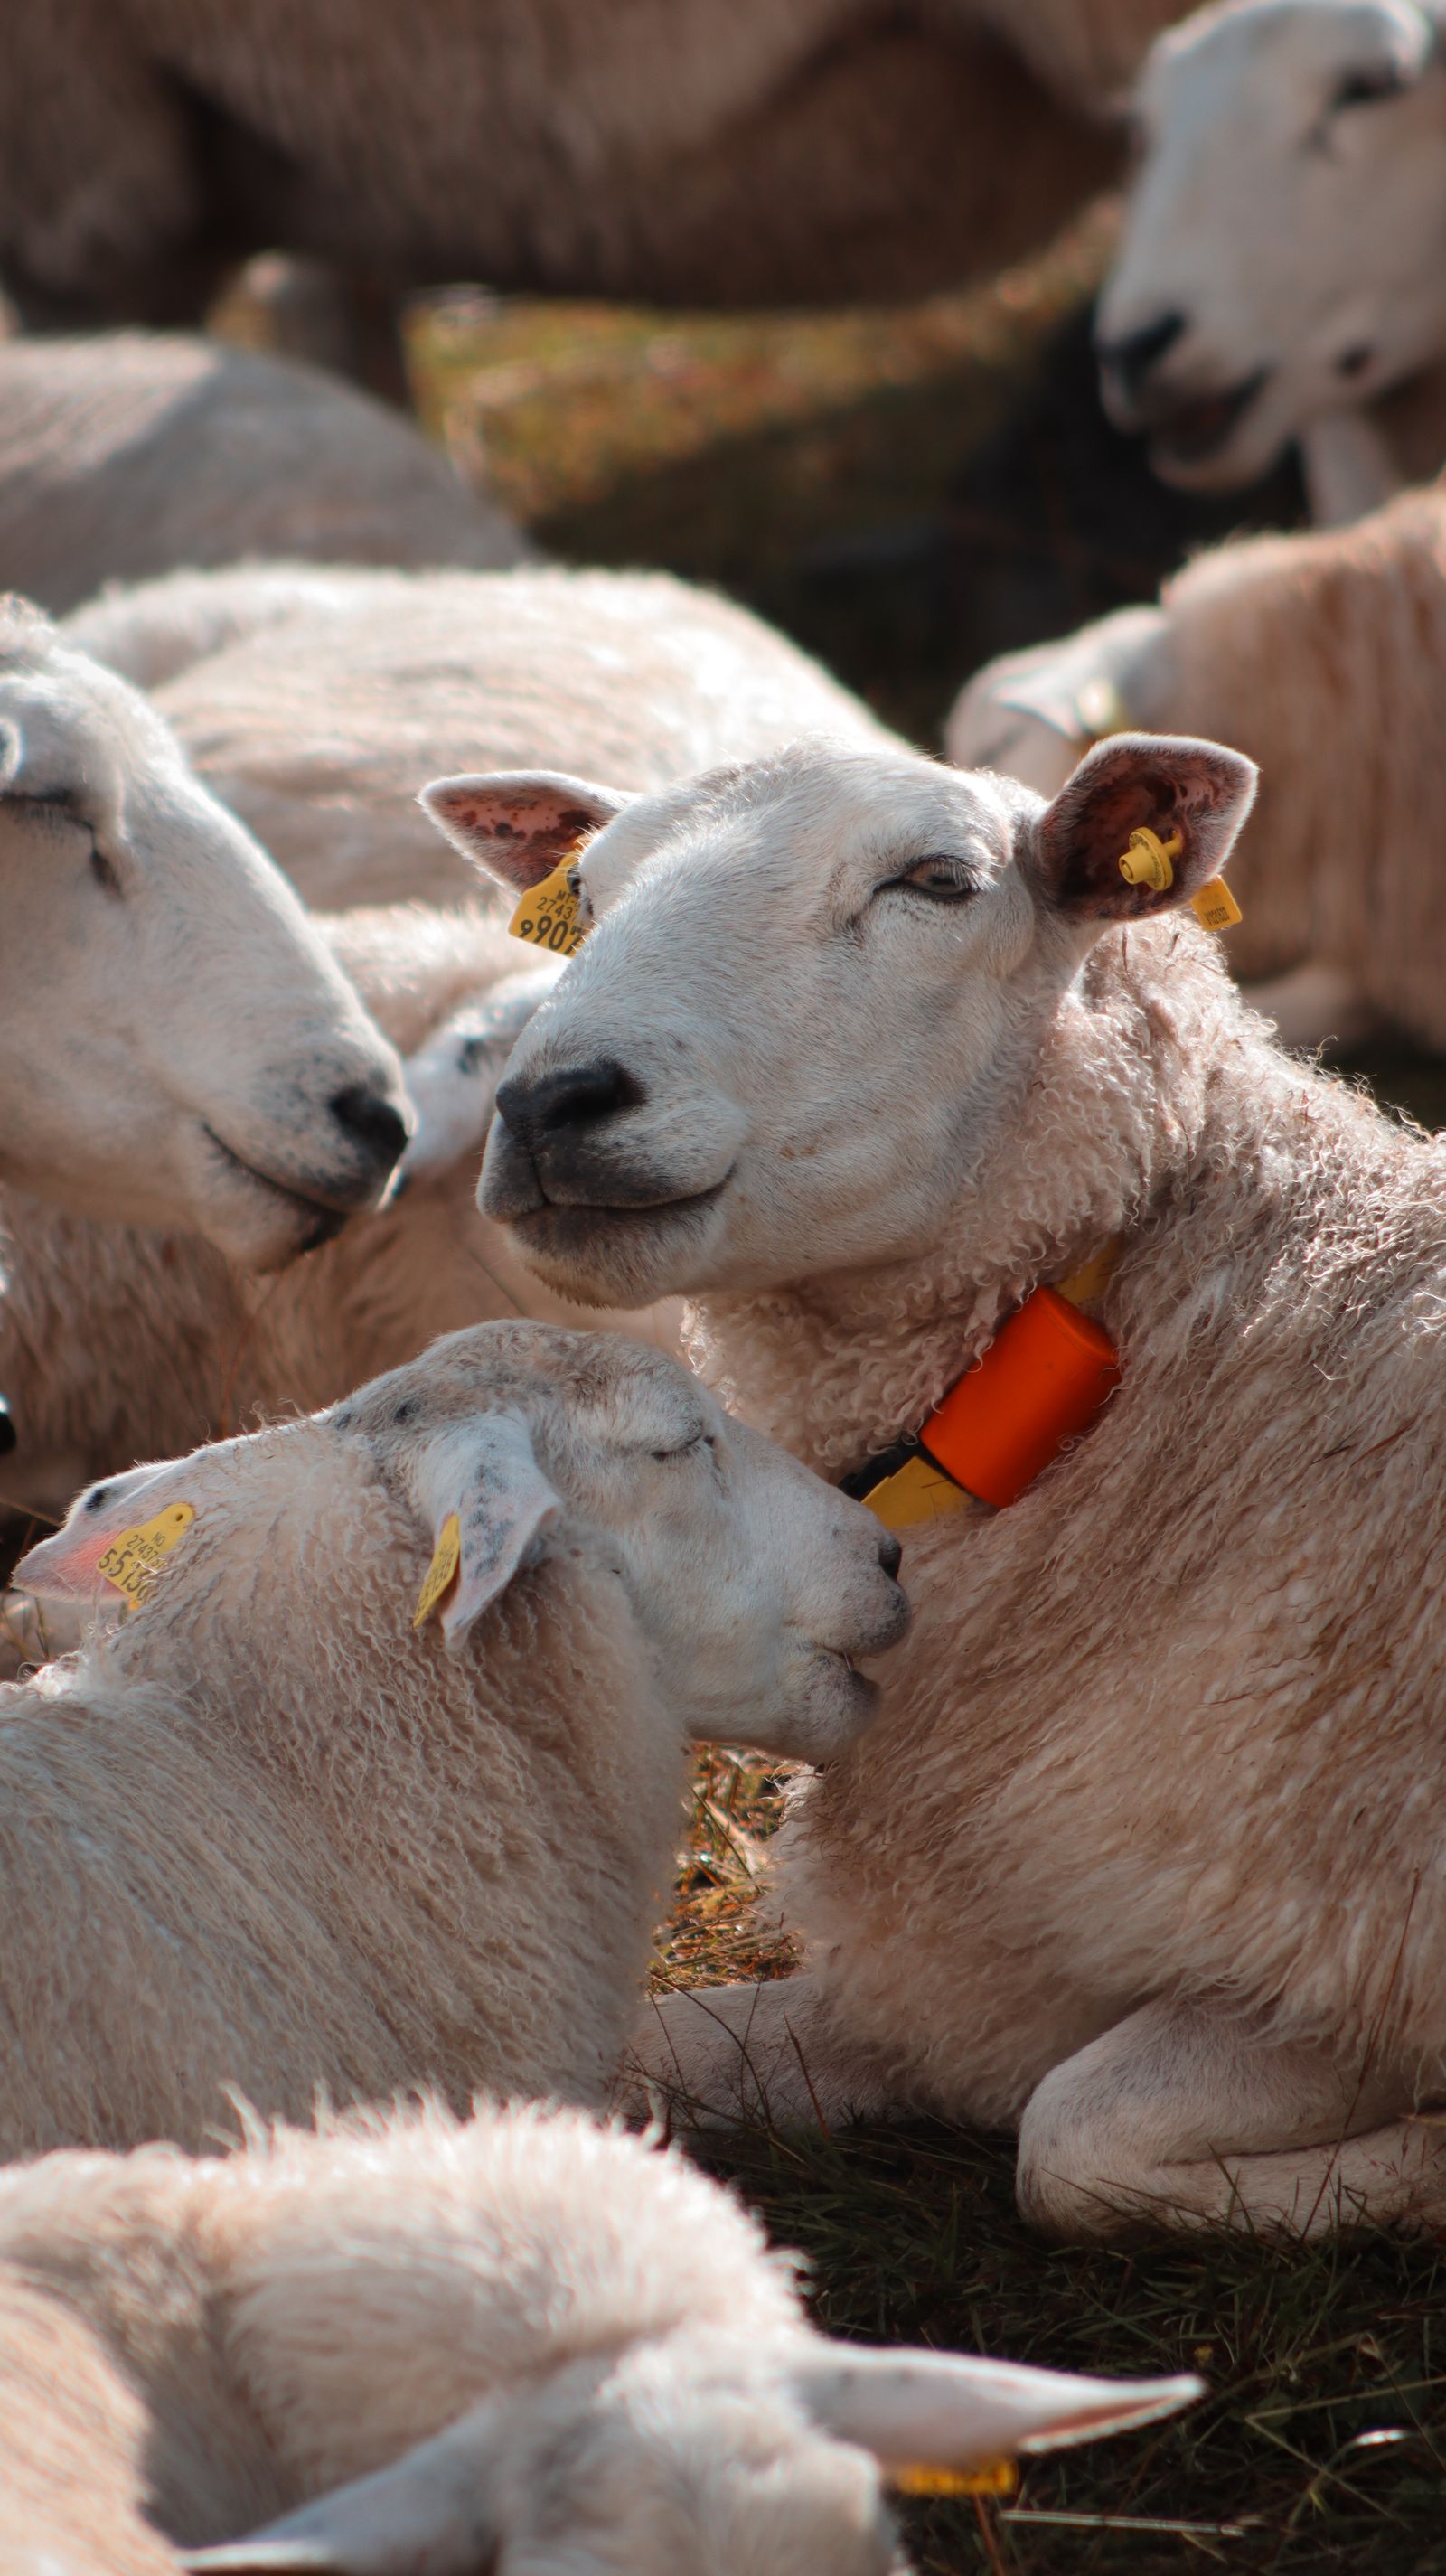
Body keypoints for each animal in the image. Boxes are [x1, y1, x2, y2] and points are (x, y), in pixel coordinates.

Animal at [419, 729, 1446, 2244]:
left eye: (937, 882)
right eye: (585, 895)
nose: (549, 1102)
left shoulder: (1347, 1950)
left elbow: (1073, 2133)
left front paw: (1424, 2164)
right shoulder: (953, 1981)